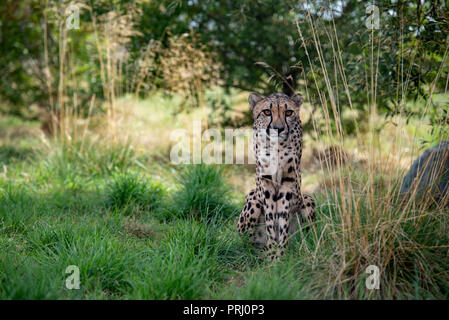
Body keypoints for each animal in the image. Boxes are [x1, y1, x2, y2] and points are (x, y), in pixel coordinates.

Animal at [238, 91, 316, 258]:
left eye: (289, 112)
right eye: (267, 112)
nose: (278, 128)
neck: (277, 147)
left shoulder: (288, 181)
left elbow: (282, 218)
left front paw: (280, 253)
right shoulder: (265, 182)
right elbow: (270, 219)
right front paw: (272, 251)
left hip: (307, 200)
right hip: (253, 198)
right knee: (246, 243)